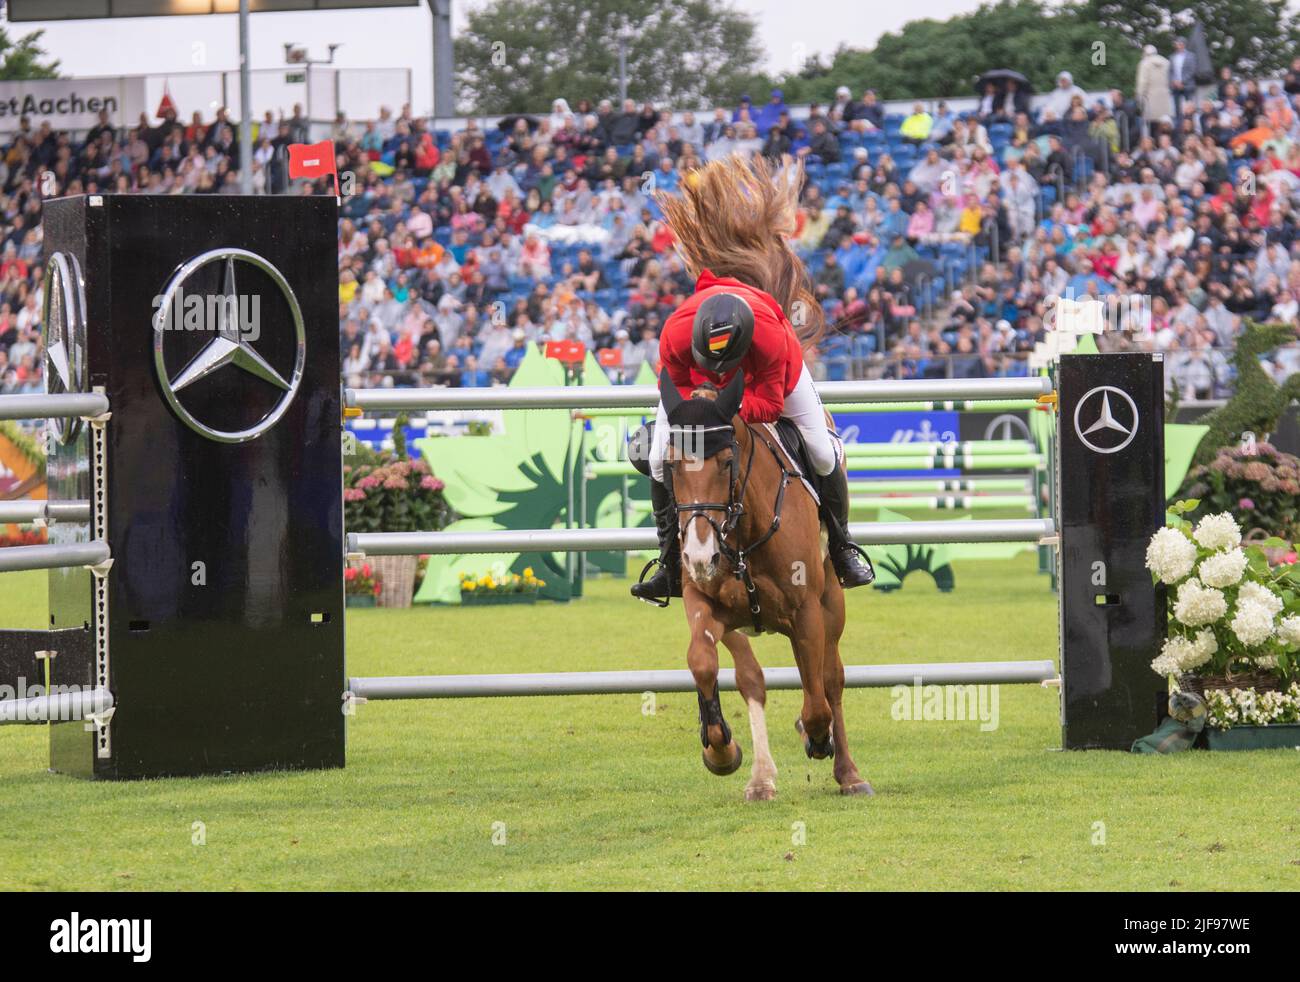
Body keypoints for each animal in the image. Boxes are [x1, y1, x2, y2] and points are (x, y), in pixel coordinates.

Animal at [660, 369, 873, 801]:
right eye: (671, 465)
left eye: (727, 462)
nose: (699, 556)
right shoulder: (704, 601)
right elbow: (703, 662)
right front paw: (721, 750)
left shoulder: (807, 613)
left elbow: (818, 701)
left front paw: (816, 737)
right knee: (752, 679)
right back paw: (760, 778)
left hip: (831, 604)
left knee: (831, 680)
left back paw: (849, 773)